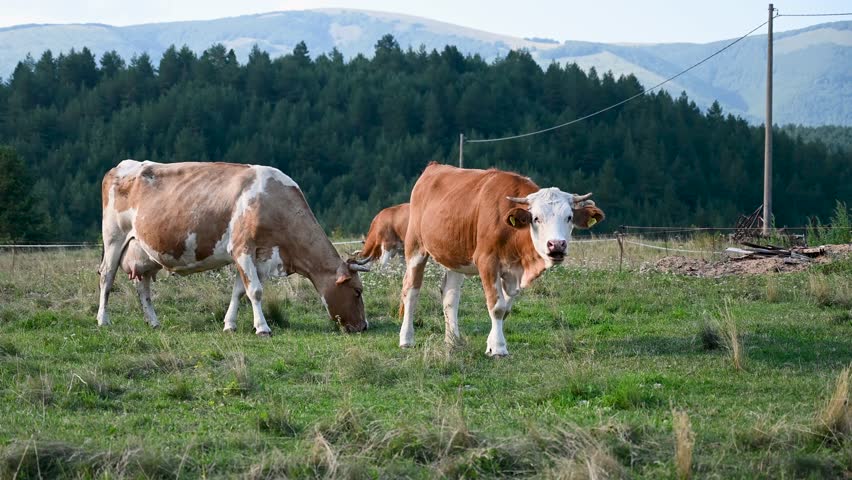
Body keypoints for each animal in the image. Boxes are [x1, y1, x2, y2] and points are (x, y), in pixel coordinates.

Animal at [97, 160, 370, 335]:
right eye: (357, 291)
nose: (364, 326)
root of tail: (120, 166)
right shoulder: (243, 249)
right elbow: (255, 291)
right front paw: (262, 328)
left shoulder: (259, 256)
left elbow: (240, 291)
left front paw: (230, 325)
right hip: (113, 239)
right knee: (106, 278)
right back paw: (103, 320)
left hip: (145, 252)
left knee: (142, 287)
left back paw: (153, 322)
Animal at [399, 163, 604, 356]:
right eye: (536, 218)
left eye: (569, 217)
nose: (557, 245)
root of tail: (433, 167)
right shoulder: (487, 262)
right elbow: (497, 307)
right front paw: (498, 348)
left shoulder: (514, 272)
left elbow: (505, 309)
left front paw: (491, 345)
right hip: (415, 247)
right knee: (411, 291)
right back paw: (406, 338)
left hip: (455, 257)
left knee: (450, 295)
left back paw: (453, 341)